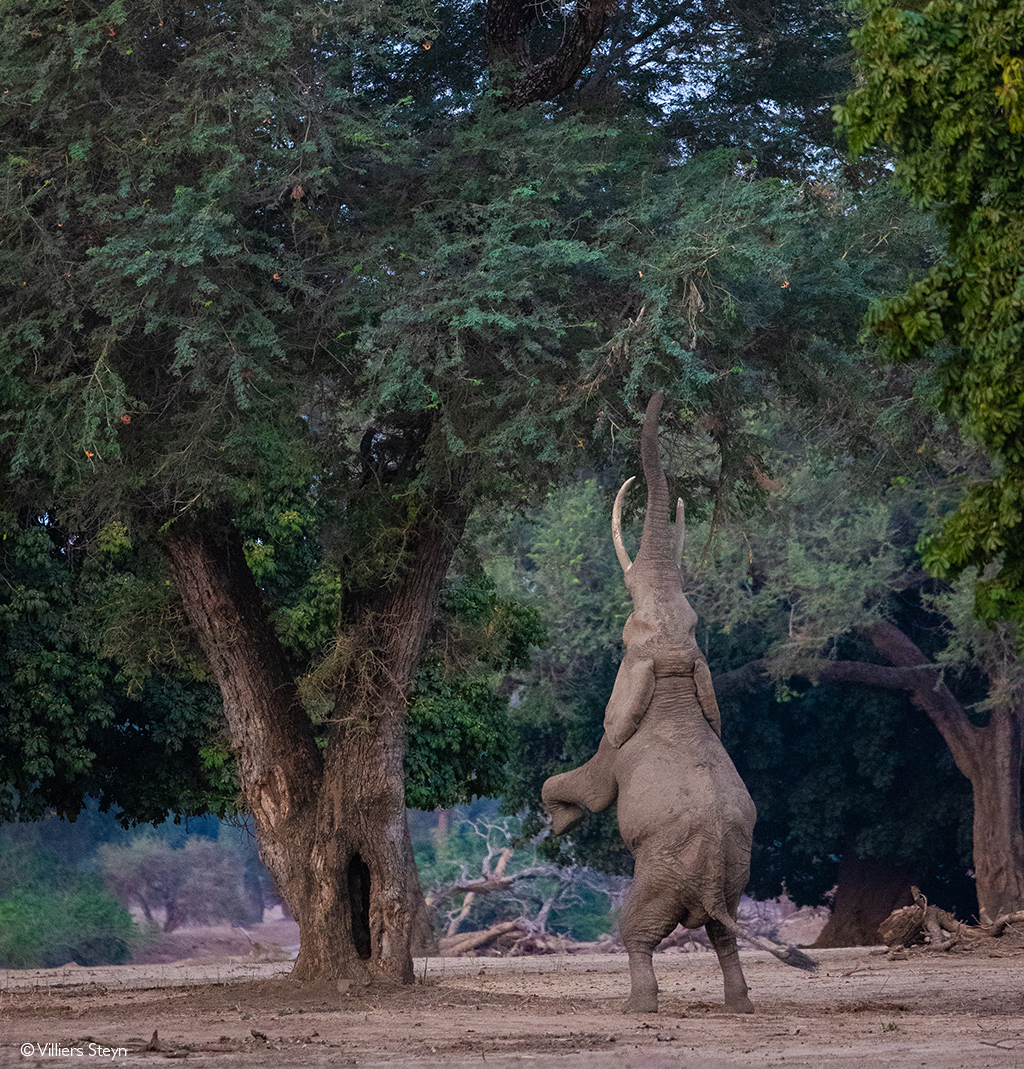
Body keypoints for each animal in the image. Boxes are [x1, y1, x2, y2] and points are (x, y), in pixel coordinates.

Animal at [540, 393, 812, 1009]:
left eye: (626, 634)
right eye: (691, 620)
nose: (659, 395)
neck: (671, 665)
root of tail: (709, 888)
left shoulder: (618, 742)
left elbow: (595, 785)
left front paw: (557, 818)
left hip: (659, 876)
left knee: (638, 932)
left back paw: (637, 1006)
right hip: (734, 880)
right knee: (721, 935)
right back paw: (740, 1005)